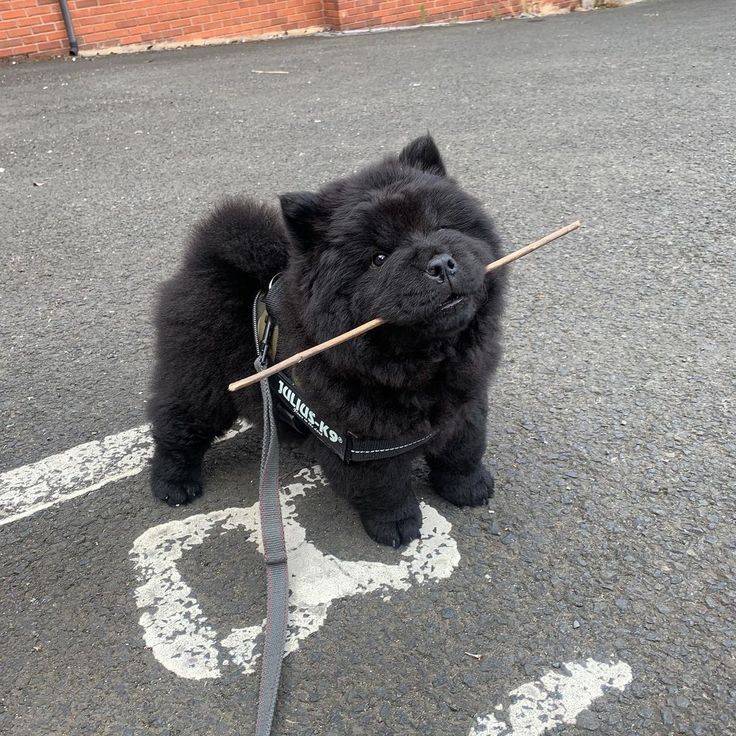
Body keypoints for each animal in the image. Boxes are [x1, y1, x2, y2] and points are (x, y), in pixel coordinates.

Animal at [148, 135, 506, 544]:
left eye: (443, 227)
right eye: (379, 258)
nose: (440, 263)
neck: (424, 365)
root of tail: (203, 262)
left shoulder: (465, 408)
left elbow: (463, 452)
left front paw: (470, 488)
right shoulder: (360, 444)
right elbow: (384, 488)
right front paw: (396, 526)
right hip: (200, 382)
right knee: (177, 425)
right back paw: (174, 483)